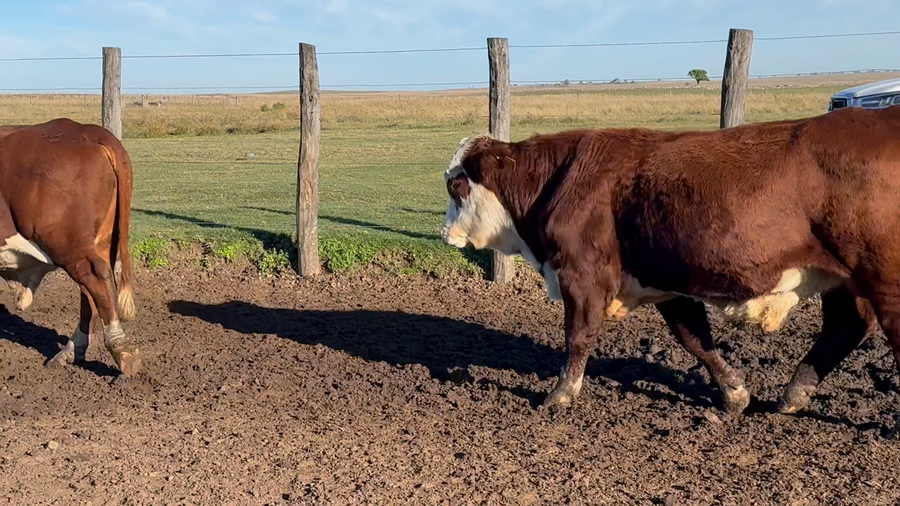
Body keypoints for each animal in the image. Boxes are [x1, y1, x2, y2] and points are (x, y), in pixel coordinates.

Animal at [0, 118, 141, 376]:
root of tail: (85, 130)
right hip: (95, 243)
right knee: (90, 291)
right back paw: (71, 351)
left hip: (68, 245)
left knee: (97, 279)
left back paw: (120, 347)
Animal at [440, 105, 900, 419]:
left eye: (455, 184)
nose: (446, 232)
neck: (560, 180)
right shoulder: (668, 283)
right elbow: (695, 338)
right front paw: (735, 393)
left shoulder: (581, 275)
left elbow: (578, 336)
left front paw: (560, 394)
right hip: (846, 279)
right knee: (846, 326)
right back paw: (793, 395)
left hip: (884, 278)